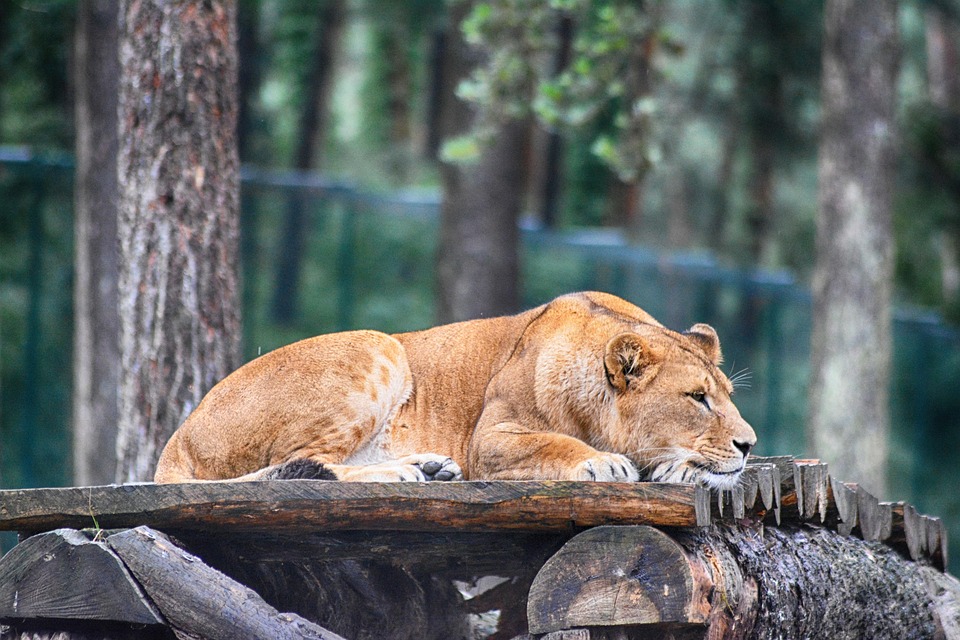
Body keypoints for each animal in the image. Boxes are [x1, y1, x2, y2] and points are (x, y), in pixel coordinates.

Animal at [154, 291, 756, 489]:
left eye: (727, 394)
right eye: (697, 398)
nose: (749, 445)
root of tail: (178, 434)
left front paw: (682, 468)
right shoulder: (487, 439)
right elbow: (555, 443)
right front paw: (603, 461)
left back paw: (428, 466)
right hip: (378, 347)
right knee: (304, 464)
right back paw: (403, 474)